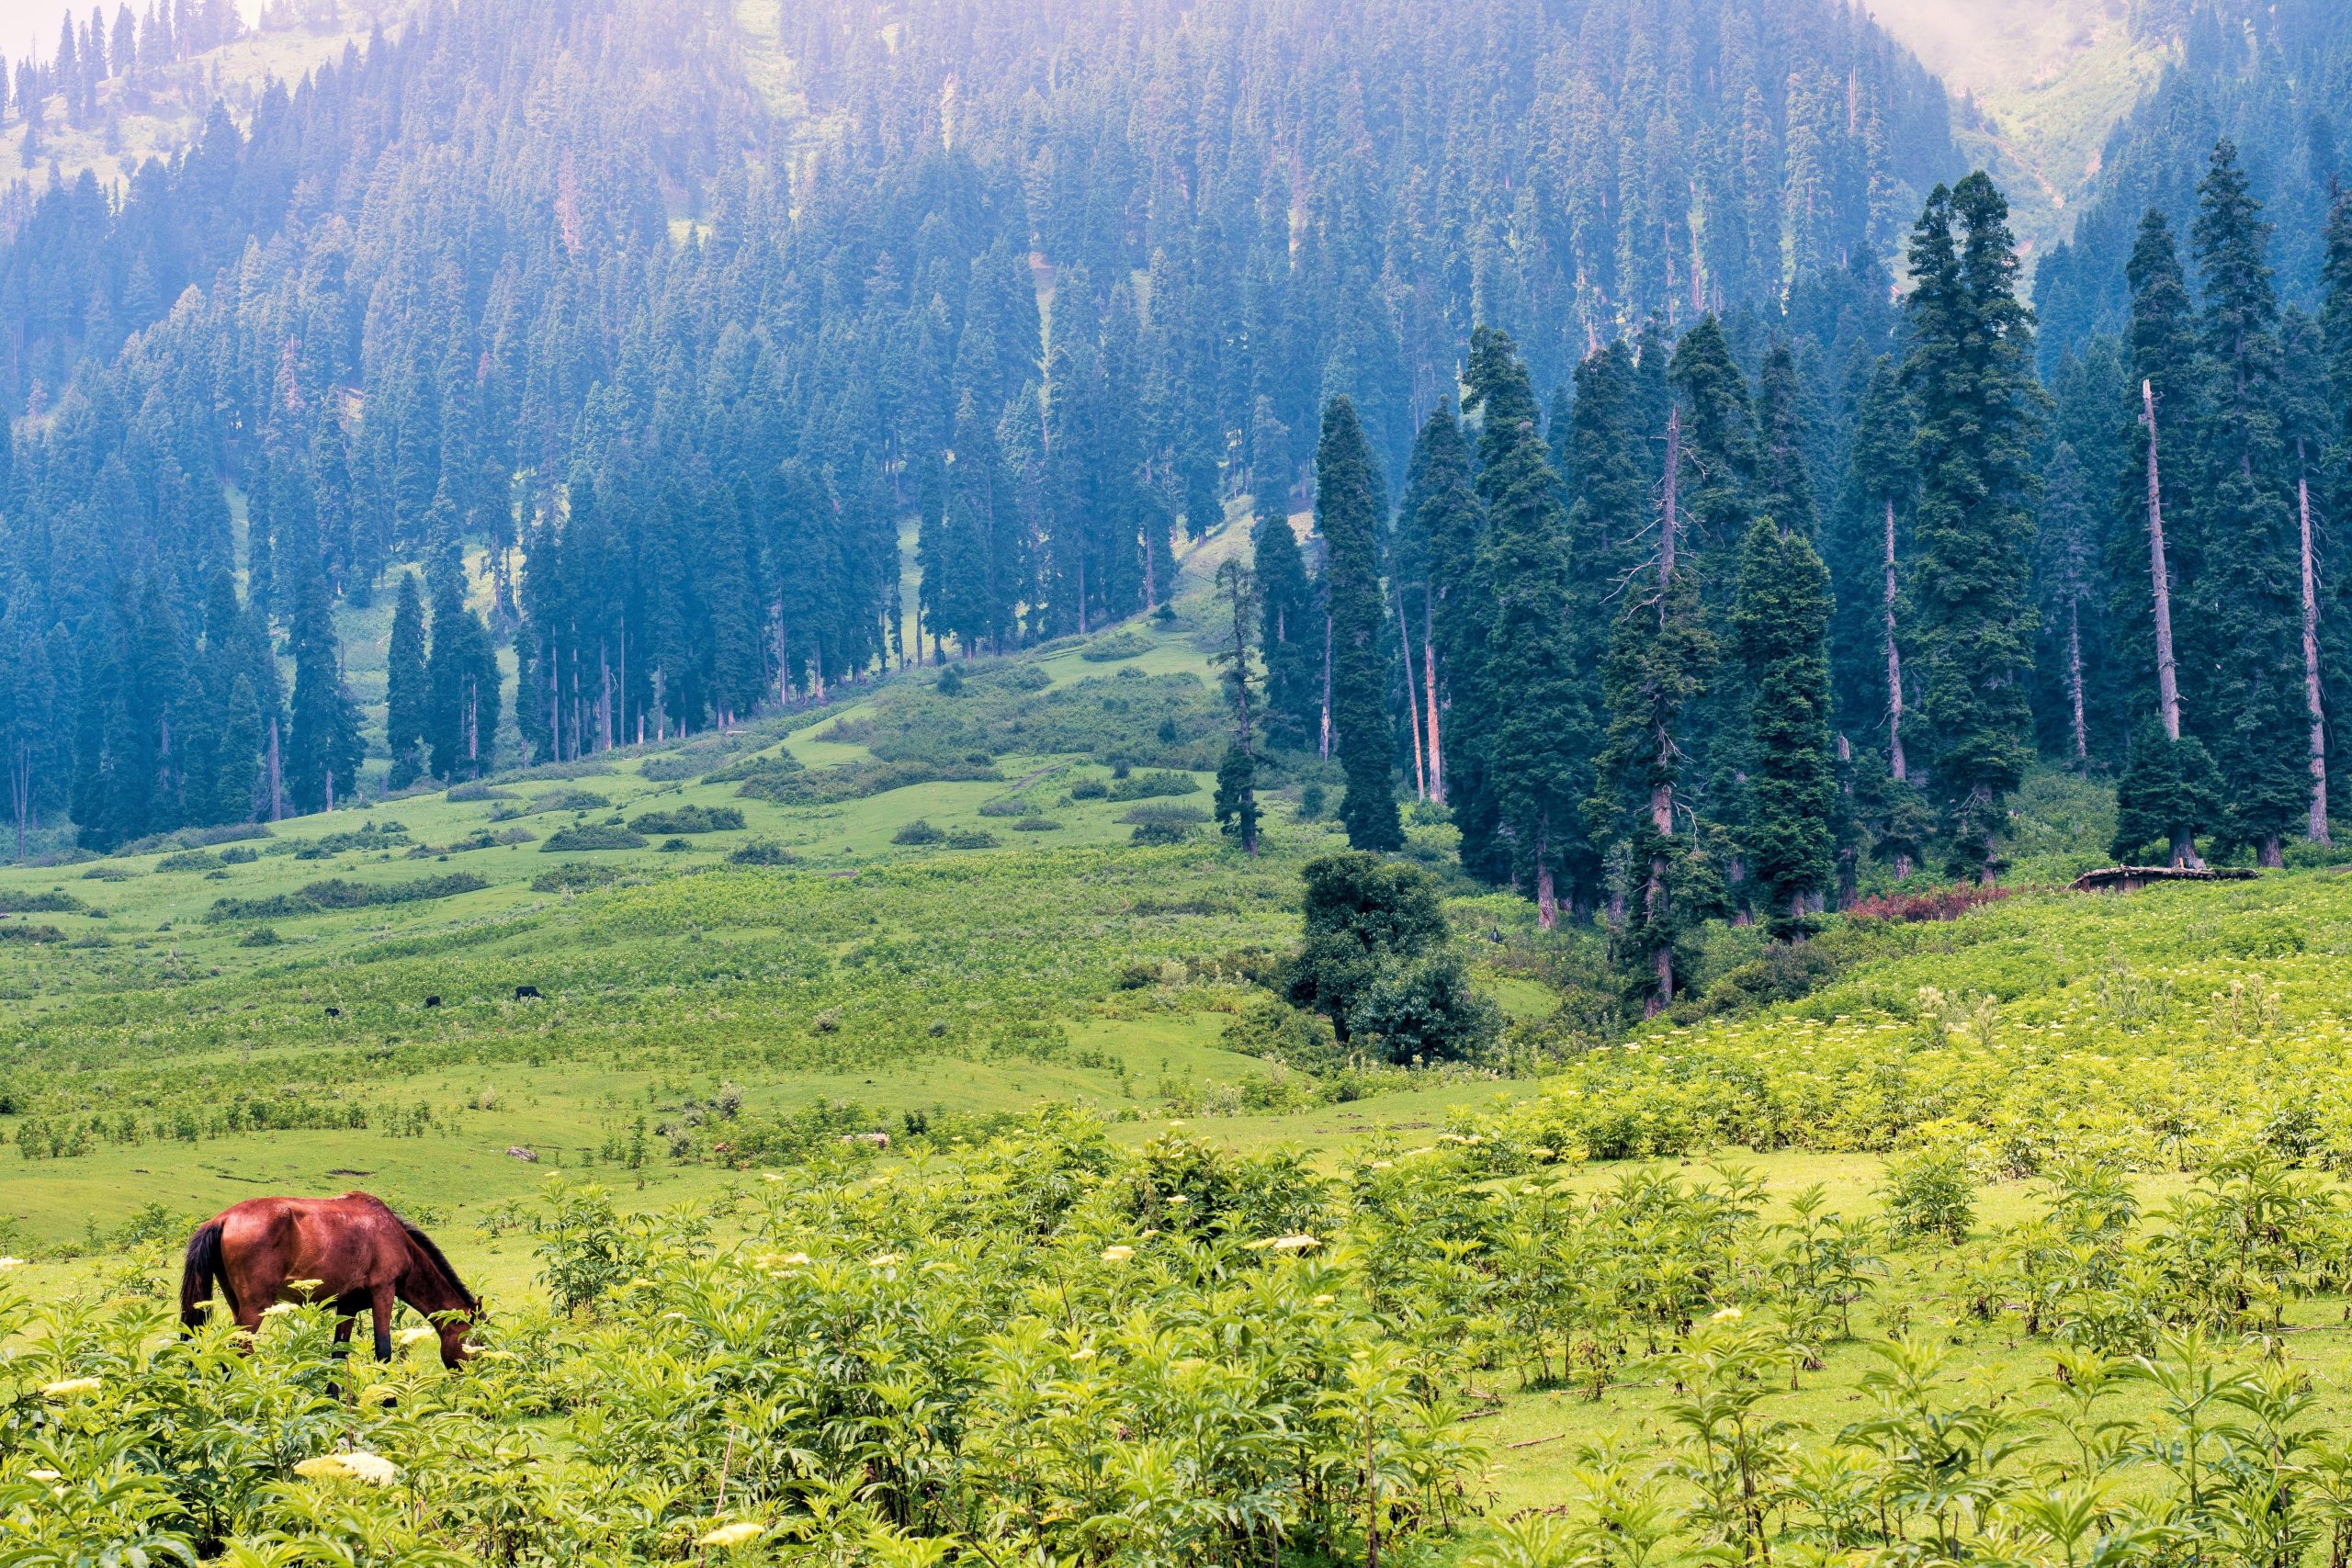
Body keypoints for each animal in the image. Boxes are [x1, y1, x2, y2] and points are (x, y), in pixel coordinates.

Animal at [180, 1193, 481, 1373]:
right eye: (477, 1344)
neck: (397, 1238)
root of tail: (223, 1219)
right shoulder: (383, 1292)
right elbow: (383, 1352)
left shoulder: (347, 1306)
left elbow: (338, 1356)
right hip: (256, 1308)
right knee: (239, 1350)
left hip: (236, 1304)